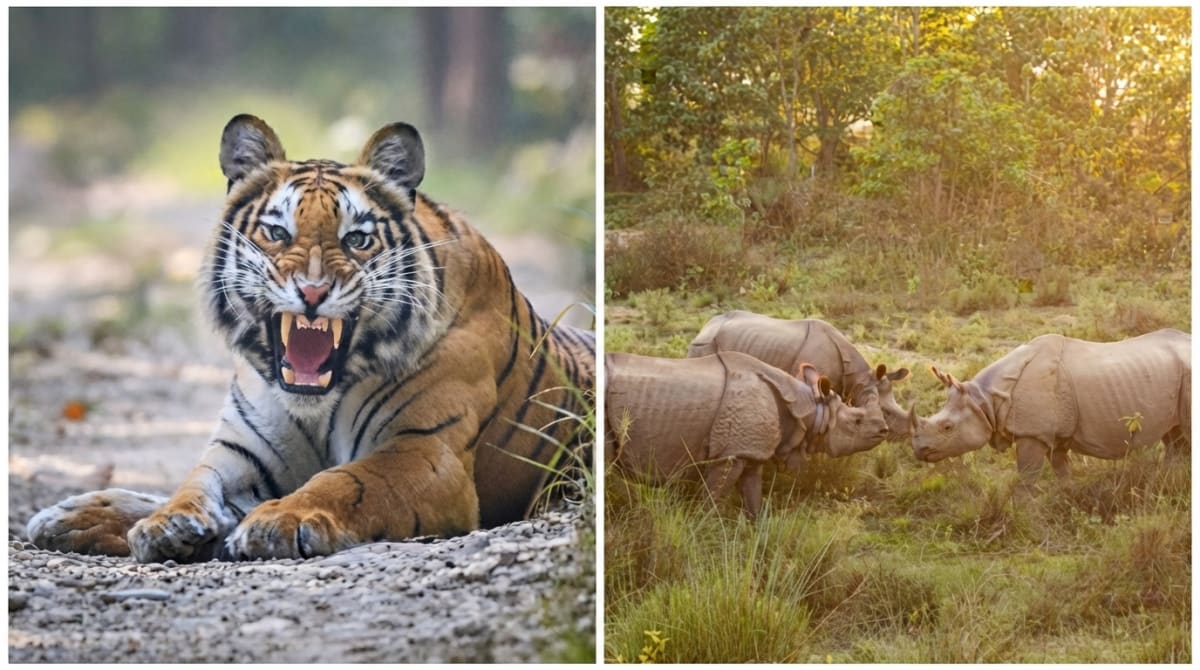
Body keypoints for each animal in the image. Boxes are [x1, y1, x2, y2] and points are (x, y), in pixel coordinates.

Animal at [25, 114, 595, 562]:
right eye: (277, 233)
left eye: (357, 239)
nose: (314, 292)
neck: (316, 404)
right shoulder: (242, 450)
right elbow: (194, 481)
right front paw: (166, 524)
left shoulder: (424, 452)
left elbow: (346, 480)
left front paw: (280, 521)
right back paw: (71, 515)